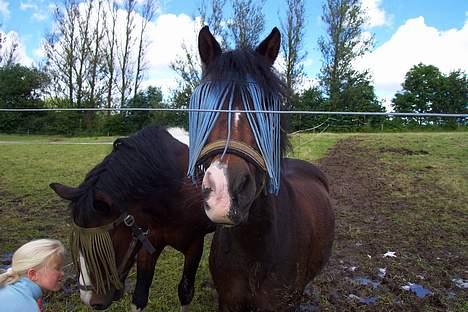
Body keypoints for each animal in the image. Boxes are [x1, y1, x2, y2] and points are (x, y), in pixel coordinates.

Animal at [49, 125, 214, 310]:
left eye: (104, 244)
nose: (89, 299)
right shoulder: (148, 241)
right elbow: (139, 296)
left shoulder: (195, 244)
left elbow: (185, 292)